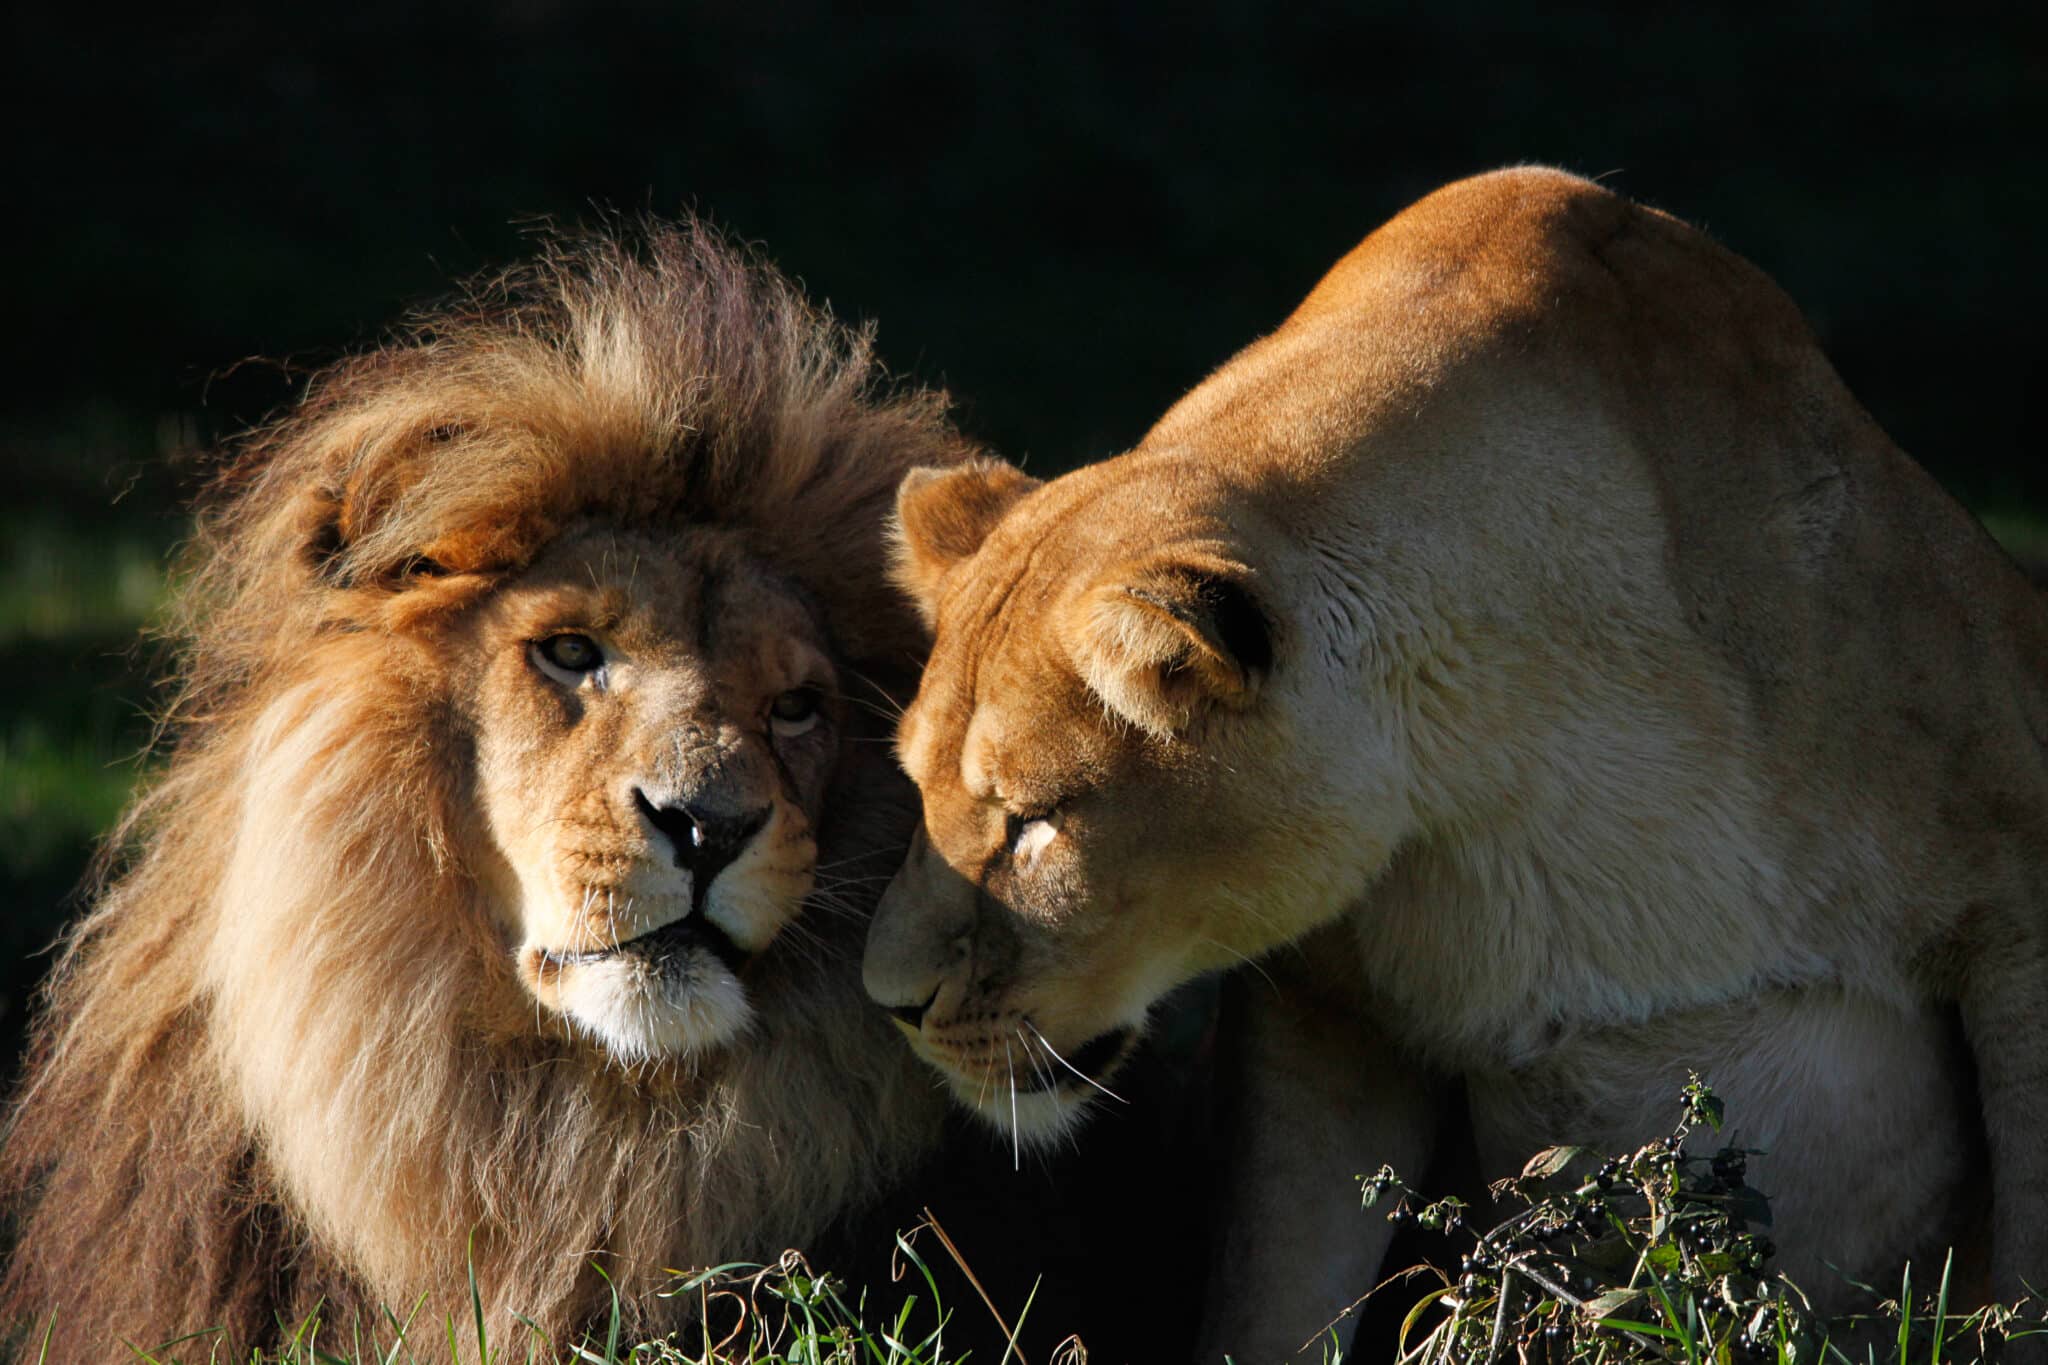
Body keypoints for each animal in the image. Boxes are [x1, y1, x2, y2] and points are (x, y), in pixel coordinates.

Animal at [862, 167, 2048, 1361]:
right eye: (912, 792)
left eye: (1035, 821)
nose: (888, 1005)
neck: (1520, 761)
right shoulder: (1323, 1013)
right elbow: (1271, 1298)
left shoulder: (2017, 928)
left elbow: (2031, 1273)